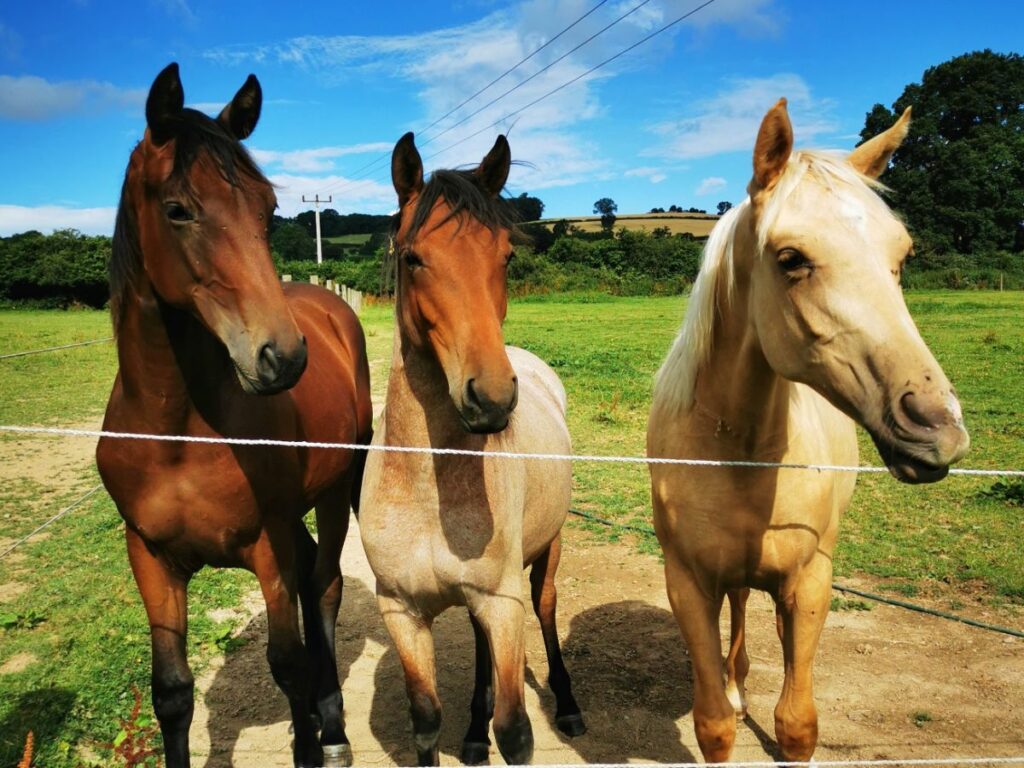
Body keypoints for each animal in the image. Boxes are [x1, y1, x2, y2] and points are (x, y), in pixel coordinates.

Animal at [95, 63, 373, 768]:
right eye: (177, 209)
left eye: (269, 211)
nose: (283, 356)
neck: (176, 434)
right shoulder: (150, 558)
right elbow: (171, 693)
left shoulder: (267, 549)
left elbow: (288, 665)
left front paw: (313, 737)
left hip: (337, 490)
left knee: (324, 586)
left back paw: (333, 726)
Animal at [359, 133, 585, 766]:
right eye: (413, 257)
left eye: (505, 257)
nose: (491, 397)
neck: (427, 491)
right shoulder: (402, 611)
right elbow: (425, 720)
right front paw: (465, 730)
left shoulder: (503, 601)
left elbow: (516, 730)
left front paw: (500, 728)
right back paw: (473, 732)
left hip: (545, 556)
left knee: (547, 609)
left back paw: (568, 705)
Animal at [647, 99, 970, 762]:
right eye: (791, 258)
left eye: (902, 256)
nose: (938, 427)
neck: (745, 453)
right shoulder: (687, 583)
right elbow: (713, 724)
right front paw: (729, 702)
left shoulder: (811, 580)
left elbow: (797, 722)